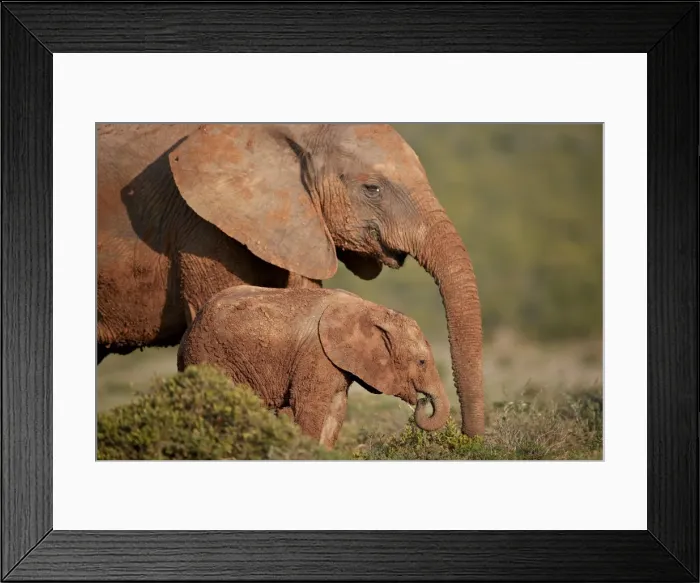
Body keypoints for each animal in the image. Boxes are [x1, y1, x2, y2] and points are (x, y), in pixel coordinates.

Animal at [177, 286, 450, 448]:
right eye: (421, 362)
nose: (422, 402)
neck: (371, 310)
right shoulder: (317, 354)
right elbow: (309, 406)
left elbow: (336, 410)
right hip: (210, 356)